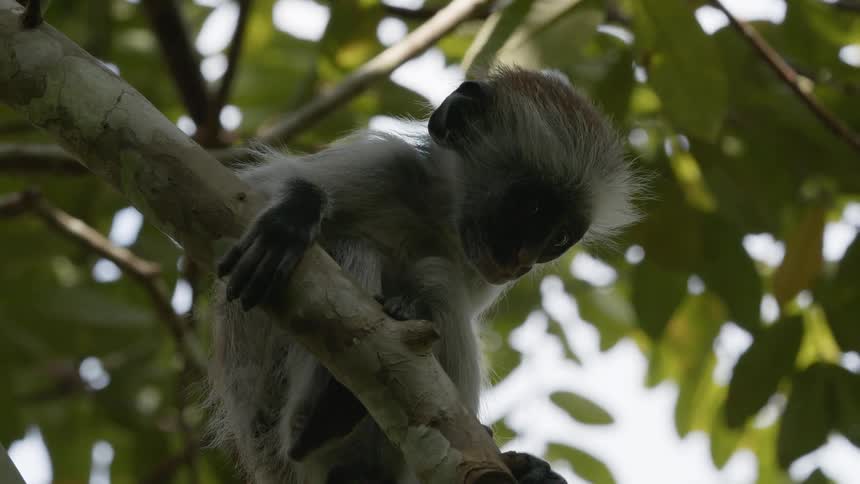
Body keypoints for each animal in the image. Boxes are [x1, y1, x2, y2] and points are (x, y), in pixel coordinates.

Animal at [209, 66, 642, 484]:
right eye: (531, 208)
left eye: (560, 237)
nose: (523, 261)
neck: (433, 217)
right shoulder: (384, 164)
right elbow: (247, 192)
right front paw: (296, 210)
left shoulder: (477, 265)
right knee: (357, 249)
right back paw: (314, 420)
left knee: (436, 278)